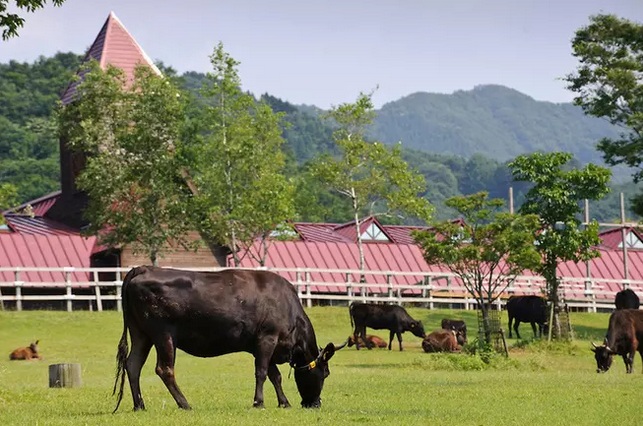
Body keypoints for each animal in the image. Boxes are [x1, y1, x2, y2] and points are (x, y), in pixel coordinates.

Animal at [115, 268, 348, 412]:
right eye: (325, 373)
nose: (315, 404)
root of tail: (145, 268)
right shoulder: (267, 338)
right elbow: (262, 372)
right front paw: (258, 402)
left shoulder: (262, 345)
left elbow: (275, 375)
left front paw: (284, 402)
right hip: (163, 335)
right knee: (164, 369)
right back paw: (185, 404)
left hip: (141, 334)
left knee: (133, 365)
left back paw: (139, 405)